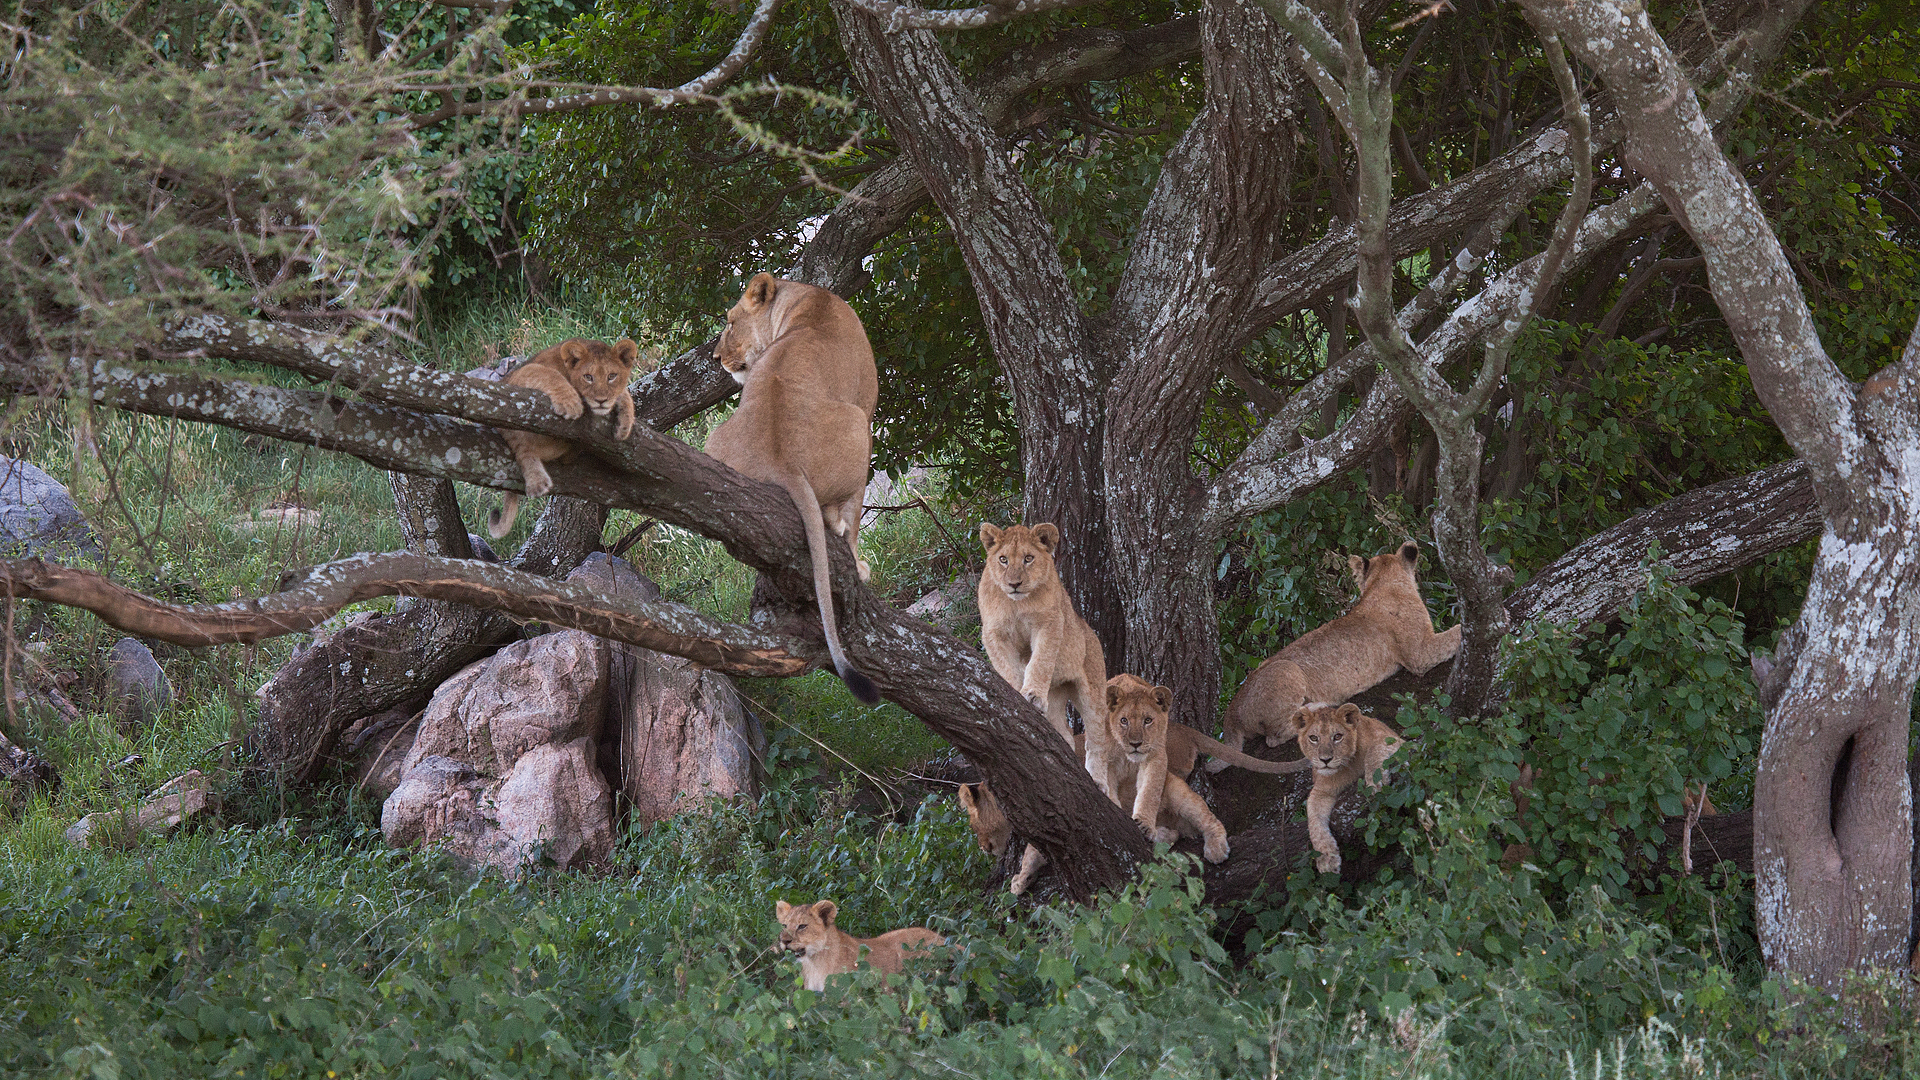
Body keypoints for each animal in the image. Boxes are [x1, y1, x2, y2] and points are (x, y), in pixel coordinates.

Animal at [487, 338, 639, 538]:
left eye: (612, 376)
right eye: (588, 377)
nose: (601, 401)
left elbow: (624, 393)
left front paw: (625, 423)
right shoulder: (519, 376)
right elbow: (546, 373)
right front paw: (571, 403)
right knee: (521, 447)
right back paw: (537, 480)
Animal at [704, 273, 881, 703]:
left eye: (730, 323)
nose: (714, 358)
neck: (807, 300)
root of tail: (781, 459)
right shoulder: (868, 406)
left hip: (711, 442)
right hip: (860, 425)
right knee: (845, 521)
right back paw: (857, 563)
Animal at [1212, 540, 1457, 770]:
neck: (1383, 583)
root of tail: (1231, 712)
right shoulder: (1420, 655)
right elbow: (1457, 633)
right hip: (1286, 669)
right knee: (1275, 736)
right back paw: (1315, 707)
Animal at [1279, 702, 1404, 874]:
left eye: (1337, 736)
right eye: (1314, 738)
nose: (1325, 760)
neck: (1348, 765)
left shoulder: (1397, 740)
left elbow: (1374, 750)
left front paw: (1375, 783)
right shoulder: (1321, 791)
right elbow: (1314, 820)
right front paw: (1326, 858)